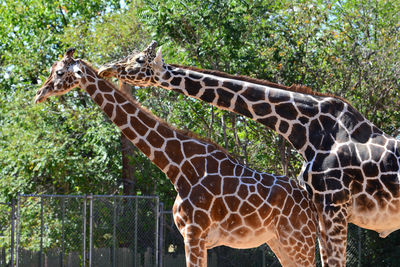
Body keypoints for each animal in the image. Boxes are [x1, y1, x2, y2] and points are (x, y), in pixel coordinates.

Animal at [36, 48, 320, 267]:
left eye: (59, 72)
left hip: (299, 240)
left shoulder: (194, 234)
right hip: (279, 241)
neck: (177, 167)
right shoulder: (193, 236)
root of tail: (310, 200)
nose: (39, 93)